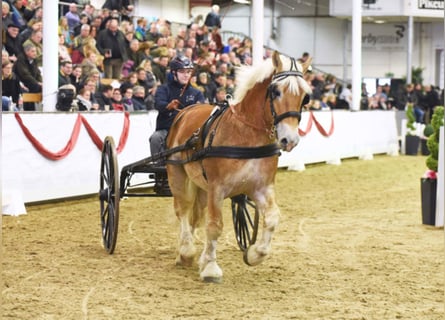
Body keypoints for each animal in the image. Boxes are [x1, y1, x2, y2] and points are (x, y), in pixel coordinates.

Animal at [165, 50, 310, 282]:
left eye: (305, 97)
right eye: (276, 91)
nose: (290, 140)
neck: (245, 133)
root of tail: (185, 110)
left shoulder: (261, 187)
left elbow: (272, 218)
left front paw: (253, 254)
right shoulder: (217, 188)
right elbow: (215, 226)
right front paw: (210, 268)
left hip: (201, 187)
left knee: (195, 215)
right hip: (177, 175)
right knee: (183, 211)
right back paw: (186, 252)